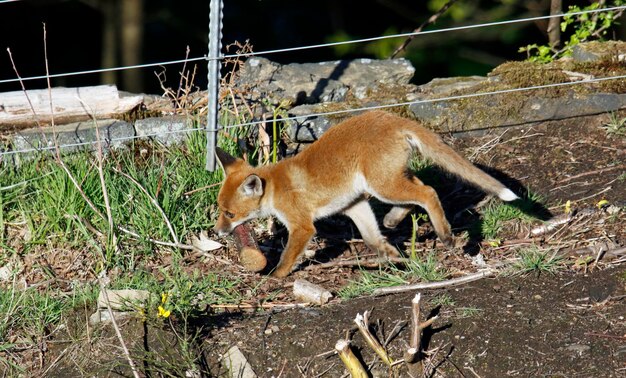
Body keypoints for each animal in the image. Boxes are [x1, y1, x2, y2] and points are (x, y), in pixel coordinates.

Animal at [214, 109, 516, 278]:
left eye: (230, 214)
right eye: (219, 210)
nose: (217, 231)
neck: (276, 187)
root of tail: (391, 117)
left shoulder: (302, 226)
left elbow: (287, 257)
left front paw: (275, 279)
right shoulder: (354, 205)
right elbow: (372, 239)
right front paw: (393, 258)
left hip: (383, 186)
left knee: (428, 192)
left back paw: (445, 235)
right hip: (387, 181)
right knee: (418, 189)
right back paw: (394, 220)